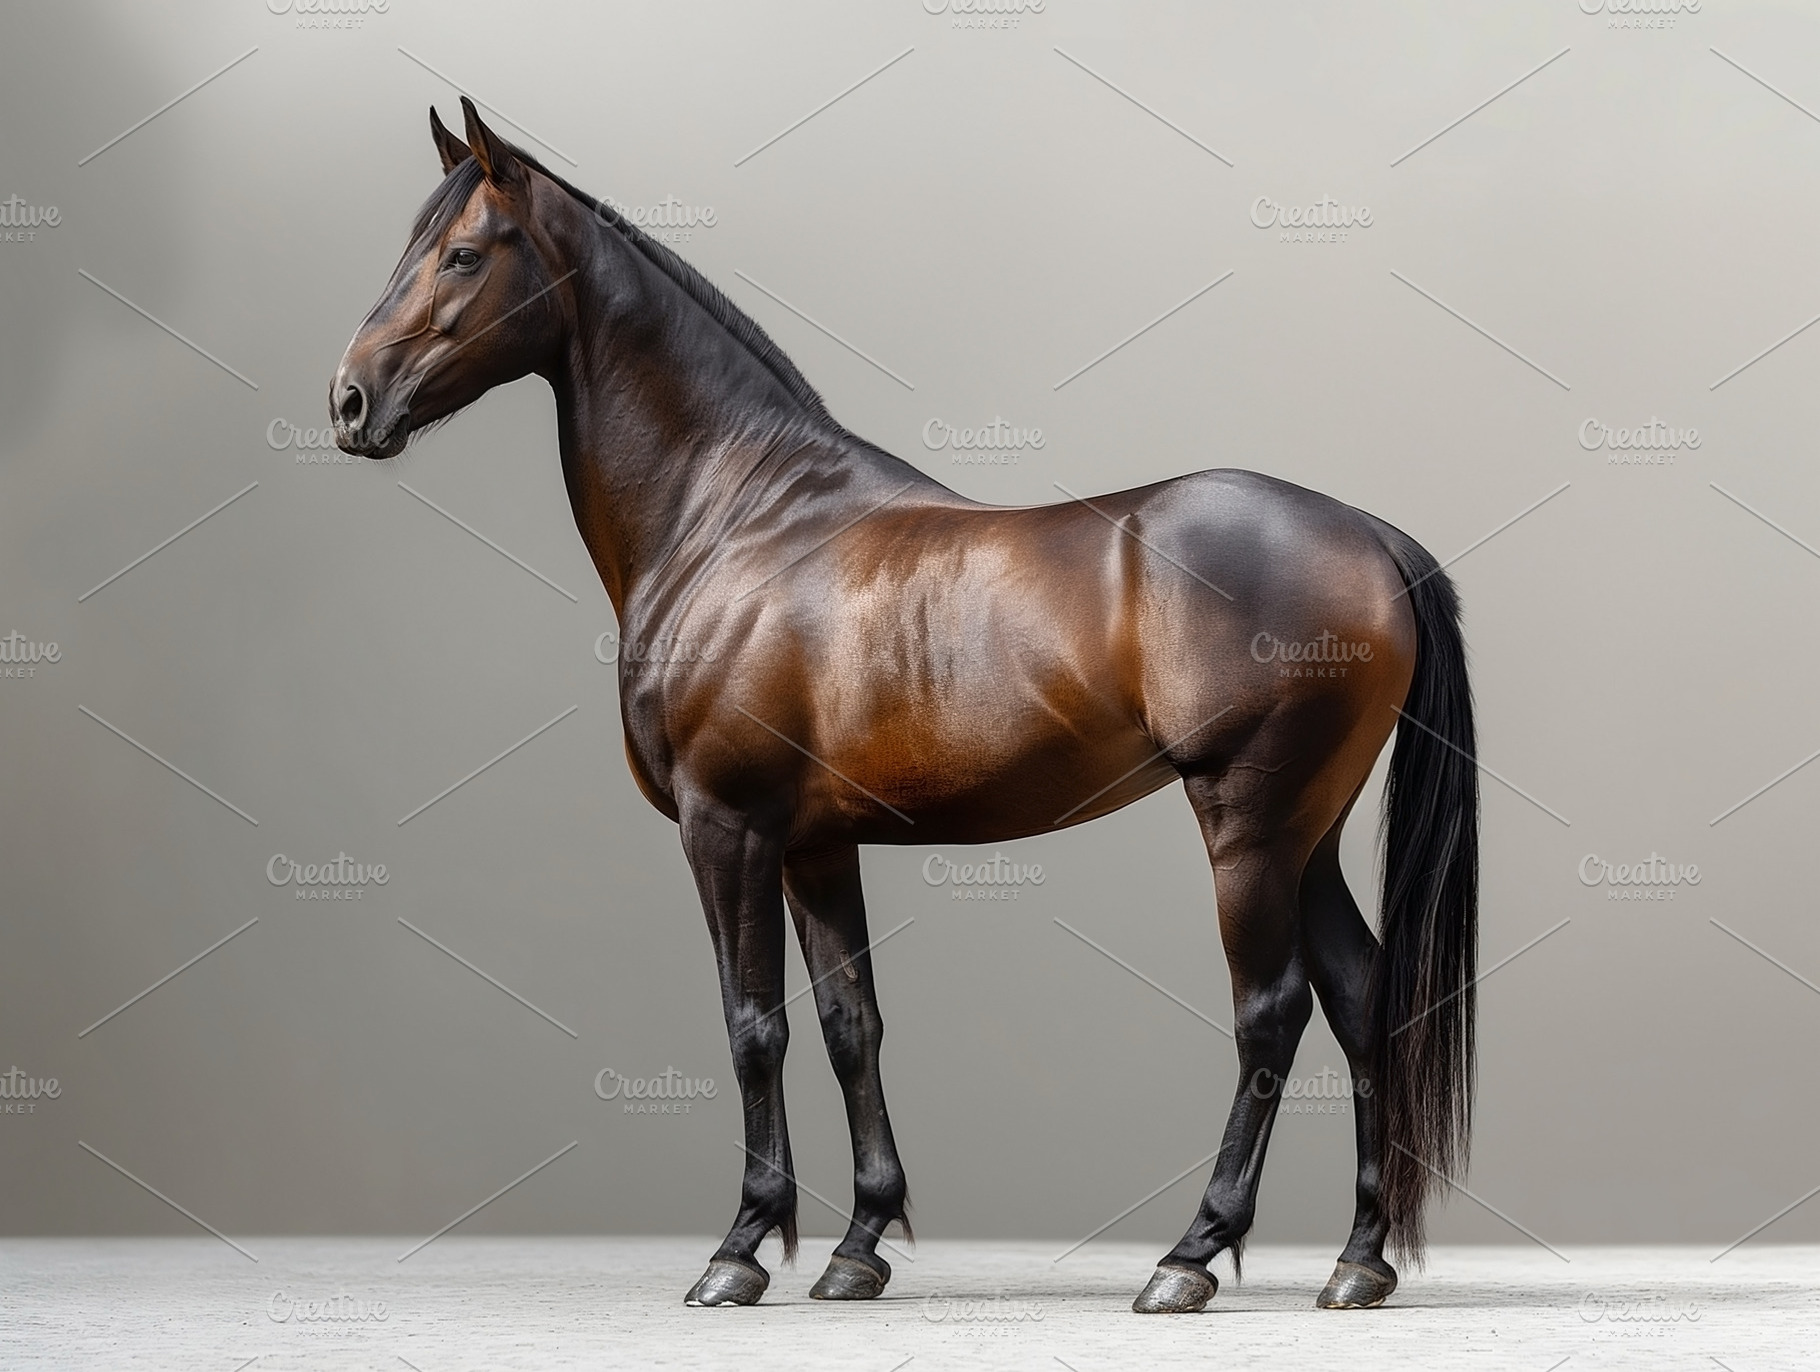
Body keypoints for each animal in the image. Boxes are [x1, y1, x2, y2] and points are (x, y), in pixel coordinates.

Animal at [332, 98, 1479, 1314]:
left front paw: (740, 1248)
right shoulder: (812, 844)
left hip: (1248, 826)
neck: (737, 516)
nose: (349, 401)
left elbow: (753, 1027)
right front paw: (858, 1244)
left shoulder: (725, 828)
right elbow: (851, 1027)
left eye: (461, 254)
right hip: (1307, 834)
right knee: (1361, 997)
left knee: (1272, 1012)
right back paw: (1357, 1262)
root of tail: (1369, 536)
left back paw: (1190, 1255)